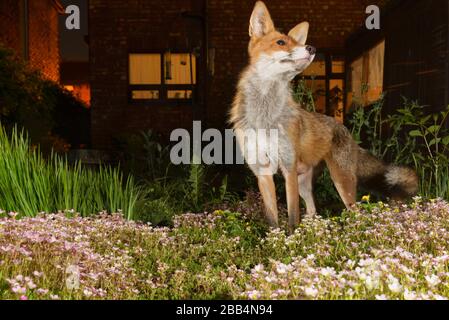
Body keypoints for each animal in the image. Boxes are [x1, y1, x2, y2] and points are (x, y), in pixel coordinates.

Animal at [229, 0, 418, 230]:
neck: (265, 117)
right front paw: (274, 239)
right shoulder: (262, 171)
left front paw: (291, 239)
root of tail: (345, 130)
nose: (311, 48)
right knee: (313, 211)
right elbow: (273, 221)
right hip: (305, 183)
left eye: (298, 42)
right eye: (281, 42)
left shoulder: (288, 168)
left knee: (354, 213)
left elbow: (292, 218)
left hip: (340, 181)